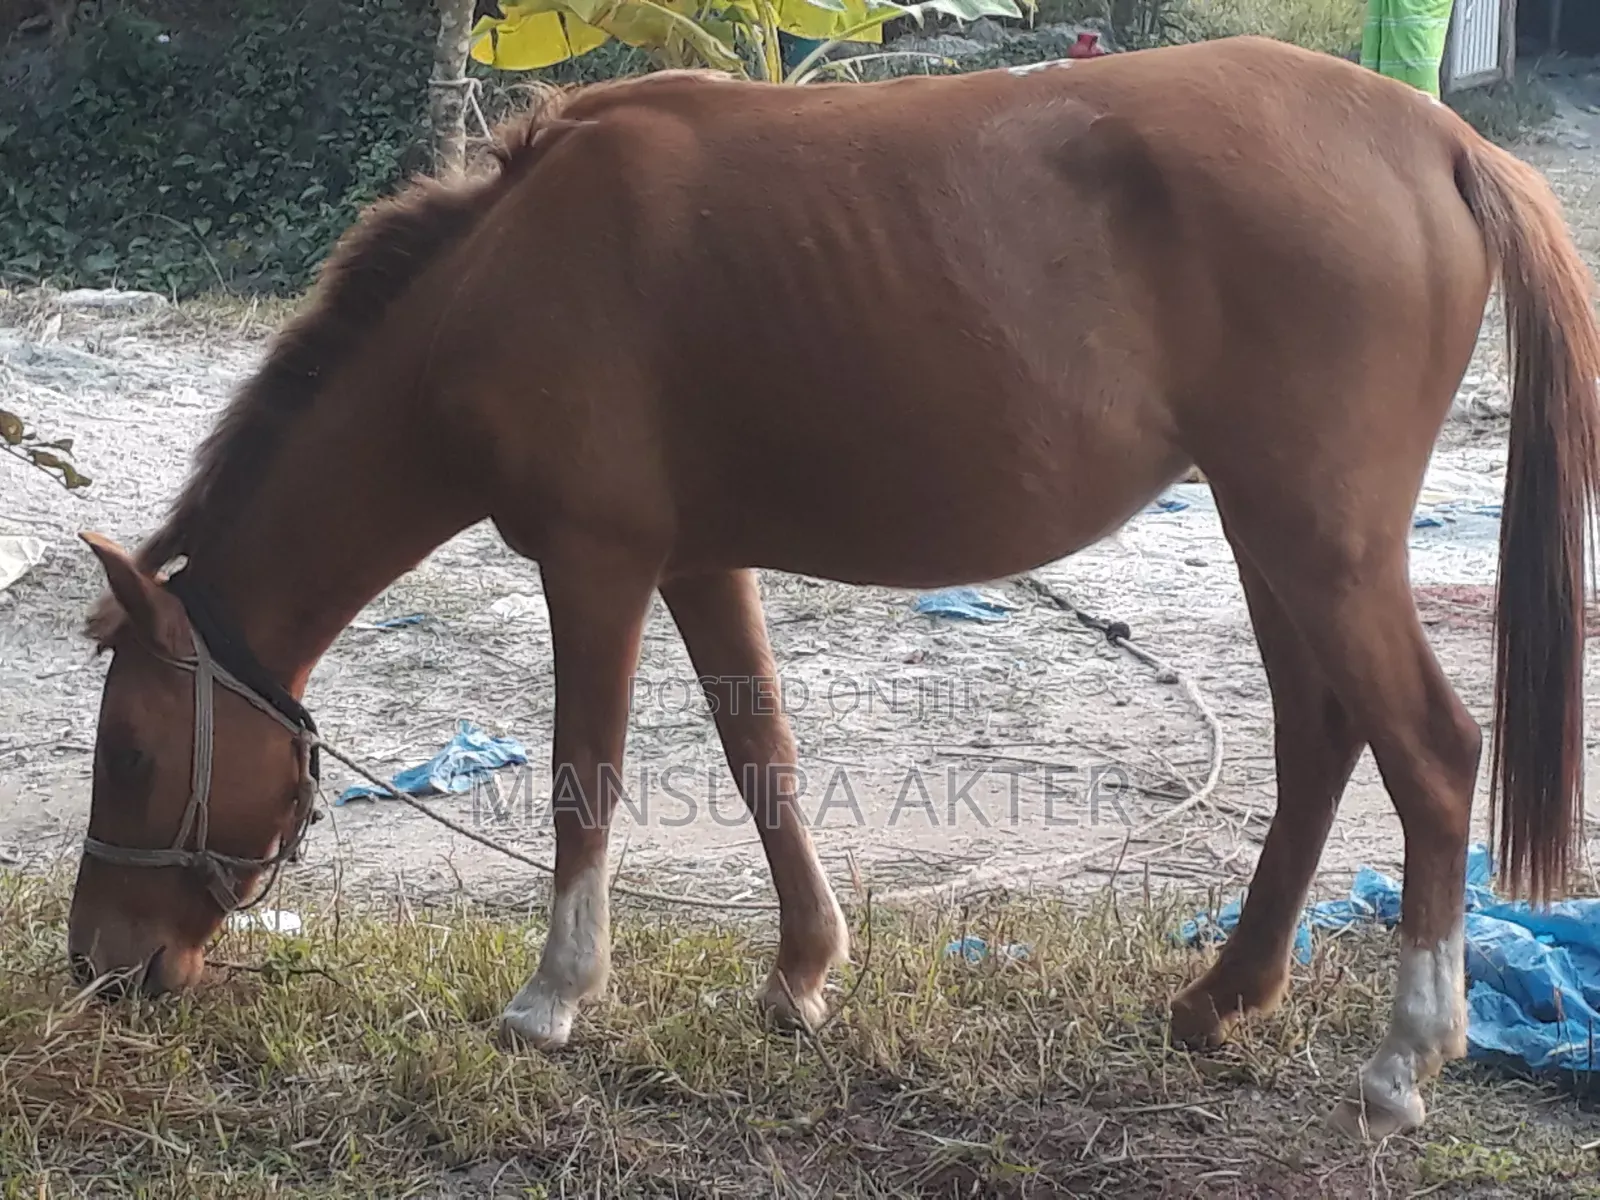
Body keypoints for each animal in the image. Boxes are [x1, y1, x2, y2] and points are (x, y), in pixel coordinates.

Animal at [67, 36, 1600, 1140]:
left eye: (131, 751)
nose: (98, 965)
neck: (500, 276)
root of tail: (1441, 142)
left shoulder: (595, 563)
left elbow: (584, 777)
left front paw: (553, 1000)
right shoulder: (697, 561)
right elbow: (764, 758)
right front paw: (802, 974)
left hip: (1315, 541)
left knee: (1431, 754)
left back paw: (1404, 1061)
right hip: (1268, 535)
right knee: (1317, 741)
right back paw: (1220, 1000)